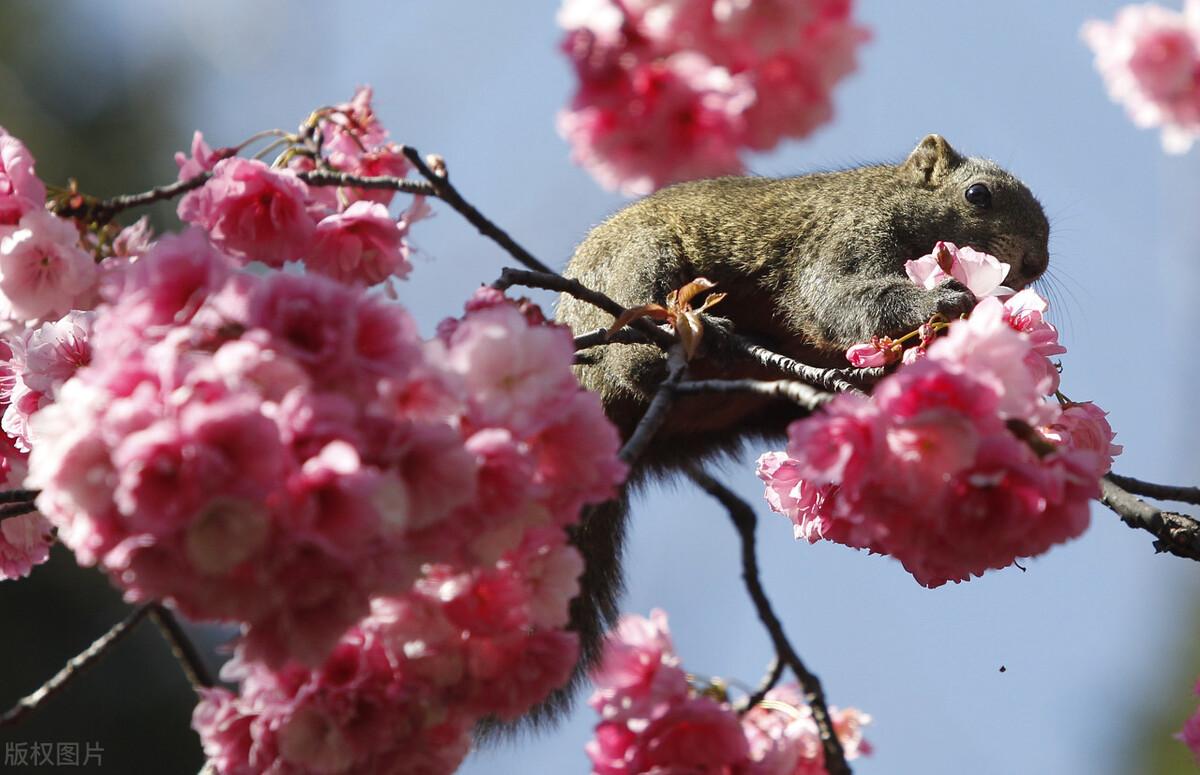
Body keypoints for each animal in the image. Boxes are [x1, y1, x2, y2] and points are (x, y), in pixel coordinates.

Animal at [537, 133, 1051, 724]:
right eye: (977, 195)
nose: (1036, 262)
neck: (894, 197)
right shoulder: (844, 237)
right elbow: (841, 296)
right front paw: (944, 301)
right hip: (638, 267)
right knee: (635, 343)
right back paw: (686, 342)